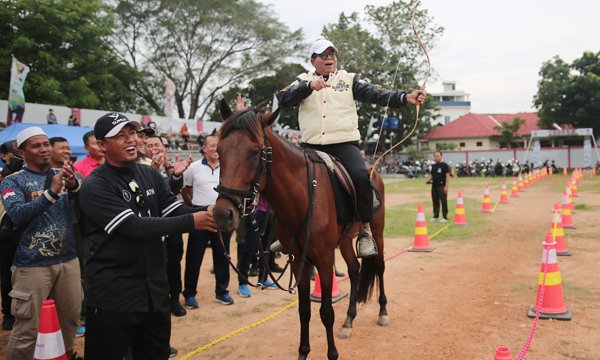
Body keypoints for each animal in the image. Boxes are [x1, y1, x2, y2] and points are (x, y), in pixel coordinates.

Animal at [213, 100, 386, 360]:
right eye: (219, 151)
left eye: (255, 152)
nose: (223, 215)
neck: (303, 198)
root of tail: (374, 170)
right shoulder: (298, 260)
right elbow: (304, 310)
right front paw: (303, 352)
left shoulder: (324, 258)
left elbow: (326, 311)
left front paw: (332, 353)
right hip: (345, 240)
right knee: (355, 271)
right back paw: (349, 320)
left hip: (377, 229)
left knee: (380, 266)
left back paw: (383, 312)